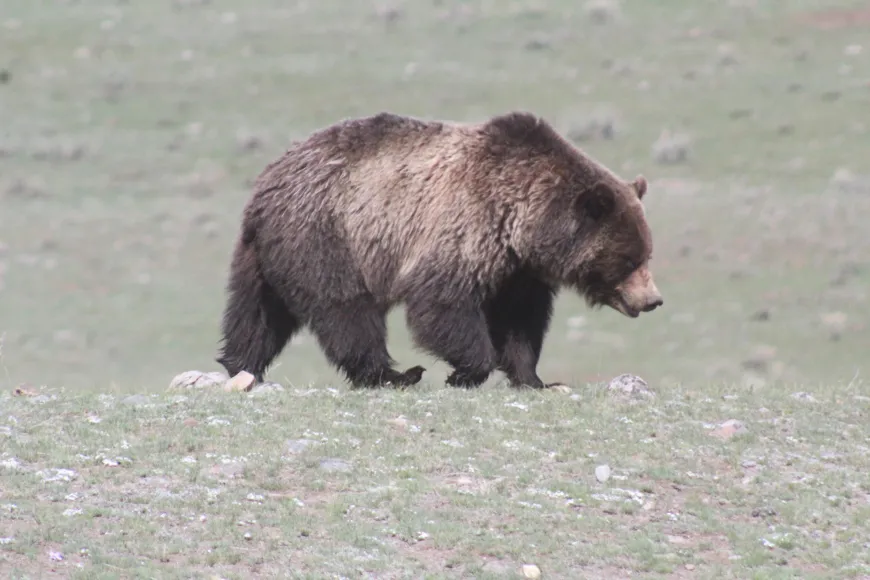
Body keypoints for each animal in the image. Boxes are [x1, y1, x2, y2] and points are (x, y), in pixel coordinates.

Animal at [216, 110, 663, 390]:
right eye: (629, 258)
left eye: (646, 254)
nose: (653, 300)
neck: (522, 221)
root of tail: (269, 179)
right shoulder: (465, 227)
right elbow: (442, 304)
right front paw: (464, 373)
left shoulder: (517, 271)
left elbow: (520, 323)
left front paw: (536, 378)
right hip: (328, 235)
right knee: (346, 311)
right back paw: (397, 375)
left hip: (266, 254)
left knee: (256, 314)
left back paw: (240, 364)